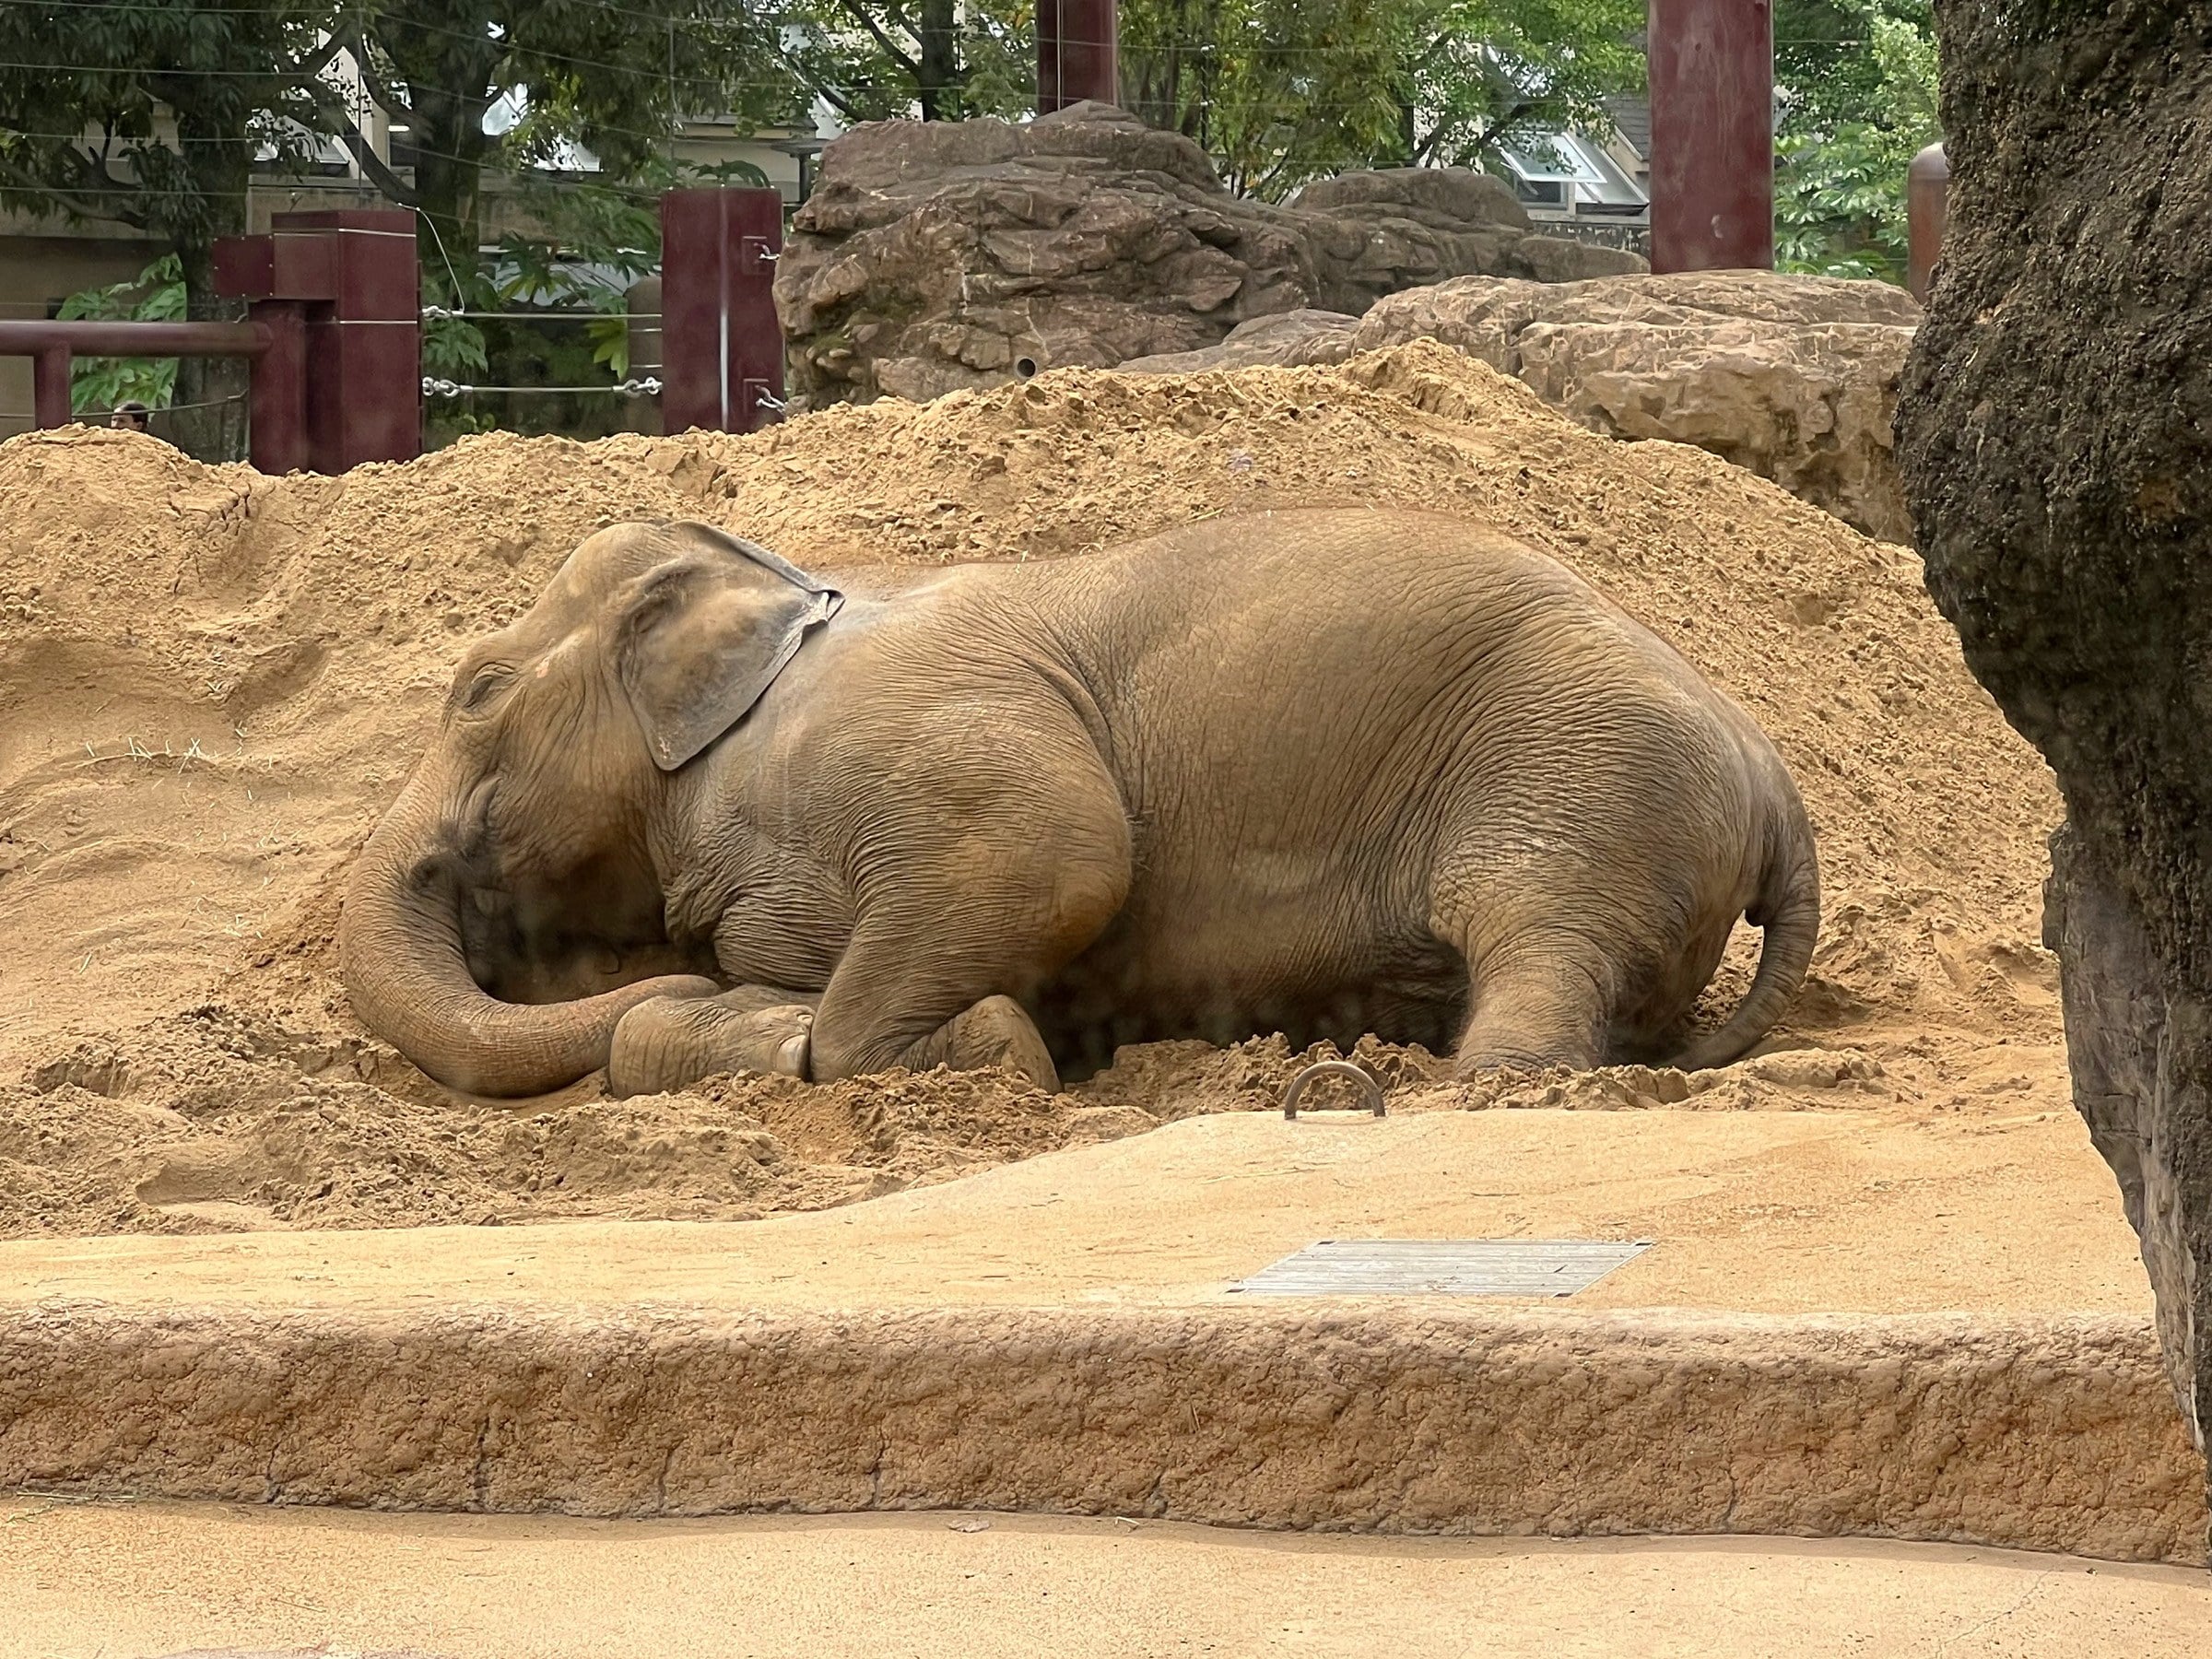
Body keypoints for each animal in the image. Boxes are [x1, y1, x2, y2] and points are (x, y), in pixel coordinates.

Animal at [338, 507, 1820, 1101]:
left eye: (474, 690)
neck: (776, 582)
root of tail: (1779, 781)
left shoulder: (908, 735)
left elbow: (1056, 855)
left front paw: (987, 1045)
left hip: (1582, 780)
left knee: (1538, 933)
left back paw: (1445, 1083)